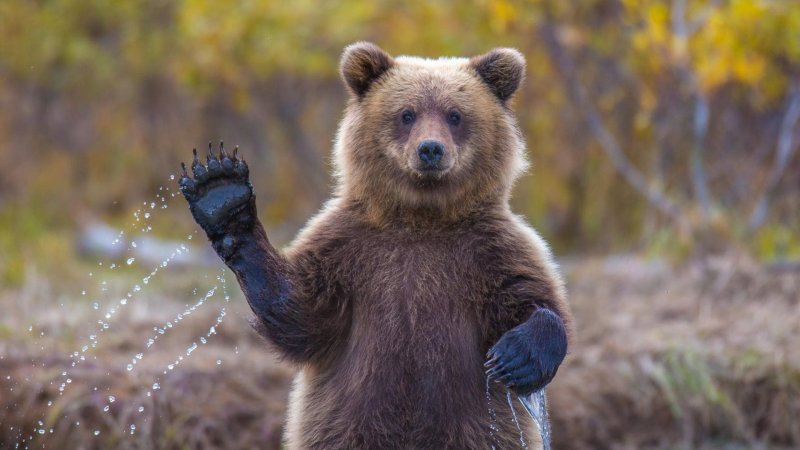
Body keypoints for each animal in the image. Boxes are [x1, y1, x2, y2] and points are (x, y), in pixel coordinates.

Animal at [179, 42, 572, 449]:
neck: (421, 218)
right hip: (345, 425)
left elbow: (533, 298)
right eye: (406, 114)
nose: (430, 150)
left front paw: (516, 357)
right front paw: (221, 192)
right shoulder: (348, 249)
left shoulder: (490, 250)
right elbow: (300, 312)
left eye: (455, 115)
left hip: (476, 428)